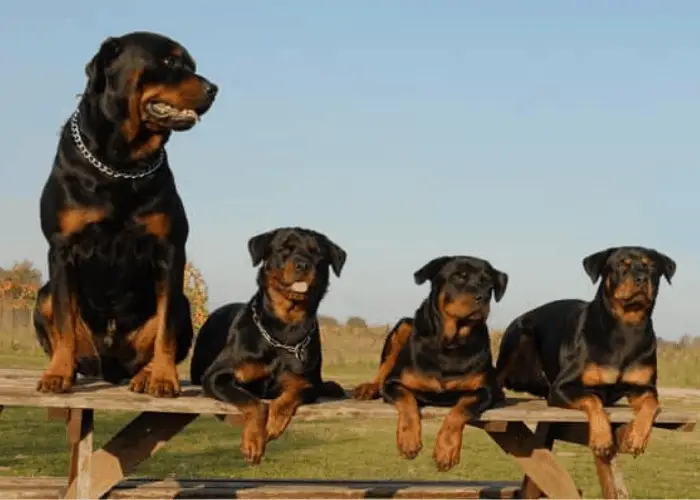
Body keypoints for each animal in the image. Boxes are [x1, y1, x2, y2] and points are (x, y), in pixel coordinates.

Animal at [32, 32, 217, 398]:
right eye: (169, 61)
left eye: (192, 65)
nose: (213, 88)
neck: (121, 164)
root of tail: (110, 368)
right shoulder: (61, 249)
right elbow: (63, 320)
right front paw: (57, 374)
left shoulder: (170, 250)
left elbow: (165, 330)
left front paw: (163, 378)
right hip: (42, 296)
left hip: (184, 304)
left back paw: (146, 375)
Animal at [190, 227, 348, 464]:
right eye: (283, 249)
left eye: (317, 253)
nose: (303, 264)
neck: (284, 331)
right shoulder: (215, 376)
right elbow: (254, 402)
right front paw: (253, 441)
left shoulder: (308, 381)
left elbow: (292, 394)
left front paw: (274, 422)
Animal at [352, 256, 506, 470]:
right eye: (458, 276)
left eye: (489, 284)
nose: (482, 297)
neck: (450, 344)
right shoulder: (394, 383)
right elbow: (407, 399)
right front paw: (409, 440)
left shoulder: (485, 390)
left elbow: (461, 408)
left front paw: (446, 450)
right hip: (403, 325)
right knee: (383, 370)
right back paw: (369, 388)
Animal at [494, 245, 676, 458]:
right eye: (621, 265)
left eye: (652, 267)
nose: (642, 278)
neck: (626, 327)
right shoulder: (562, 387)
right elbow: (592, 398)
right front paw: (602, 438)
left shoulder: (644, 387)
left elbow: (652, 404)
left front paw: (638, 437)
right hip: (520, 334)